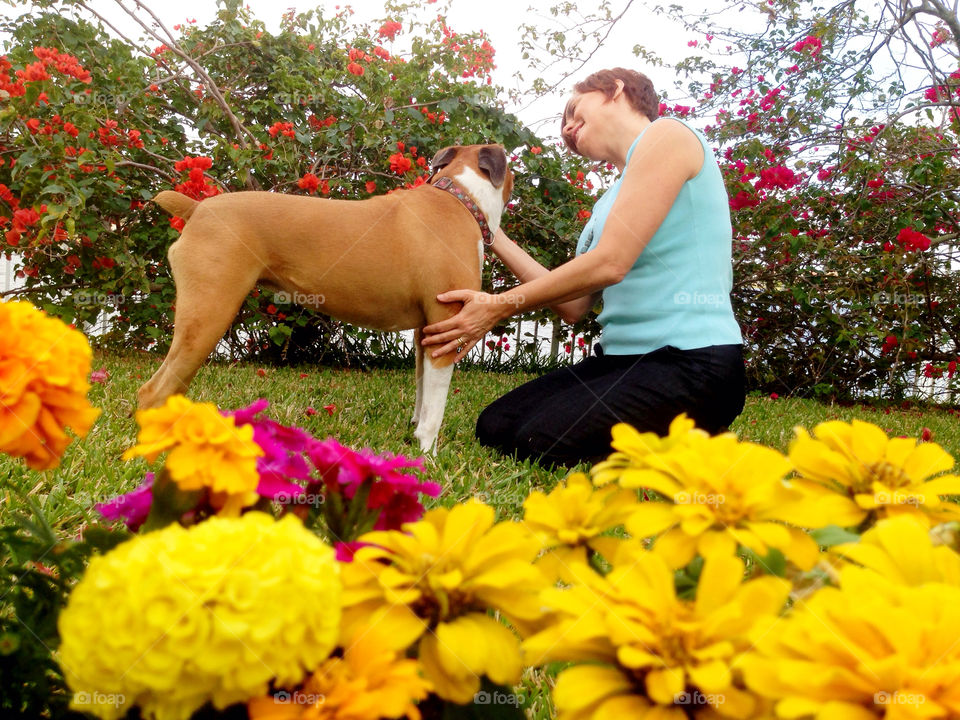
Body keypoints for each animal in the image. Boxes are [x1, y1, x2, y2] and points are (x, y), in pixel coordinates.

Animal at [140, 142, 512, 450]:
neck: (461, 197)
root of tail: (198, 209)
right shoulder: (447, 332)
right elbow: (434, 412)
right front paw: (427, 458)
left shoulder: (428, 332)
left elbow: (422, 395)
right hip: (208, 315)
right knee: (155, 391)